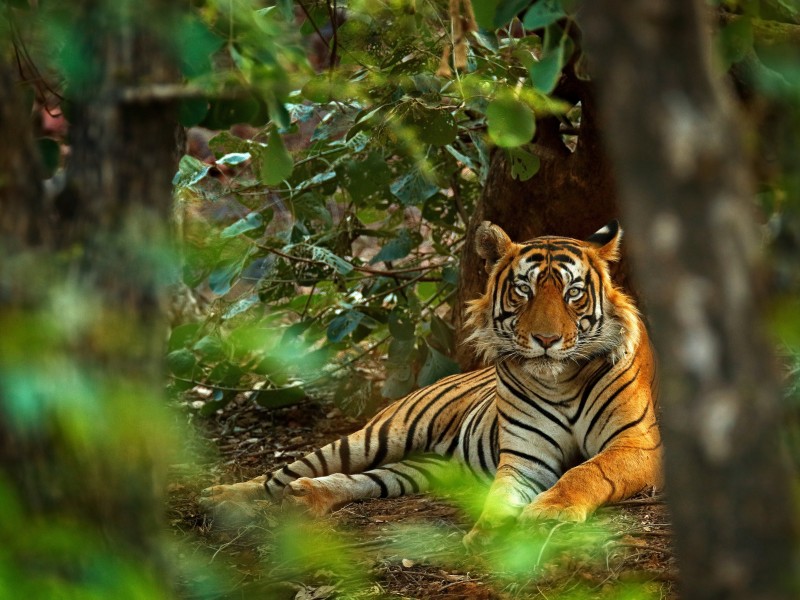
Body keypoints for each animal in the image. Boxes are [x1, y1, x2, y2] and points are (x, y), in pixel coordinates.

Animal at [200, 221, 662, 547]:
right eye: (523, 290)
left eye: (573, 293)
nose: (545, 340)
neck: (560, 381)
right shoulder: (525, 457)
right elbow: (501, 494)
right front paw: (489, 533)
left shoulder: (637, 444)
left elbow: (586, 471)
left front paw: (549, 513)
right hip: (378, 436)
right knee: (282, 473)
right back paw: (221, 496)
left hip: (424, 468)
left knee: (365, 479)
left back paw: (306, 497)